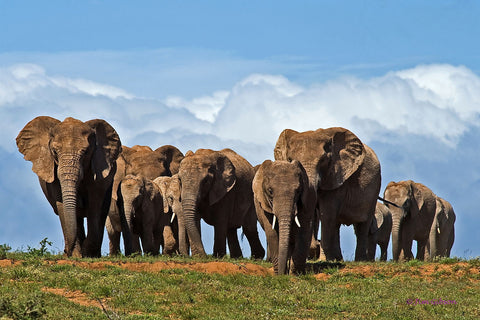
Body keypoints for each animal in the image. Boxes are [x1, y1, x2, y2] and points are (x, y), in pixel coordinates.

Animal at [16, 116, 122, 256]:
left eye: (86, 152)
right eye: (54, 151)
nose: (66, 251)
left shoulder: (99, 168)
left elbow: (95, 205)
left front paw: (88, 253)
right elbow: (62, 205)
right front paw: (77, 254)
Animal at [274, 126, 382, 262]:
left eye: (323, 160)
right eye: (290, 160)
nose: (314, 246)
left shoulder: (337, 175)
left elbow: (327, 213)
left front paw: (323, 260)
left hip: (375, 188)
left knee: (362, 225)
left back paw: (360, 260)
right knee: (337, 224)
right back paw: (338, 259)